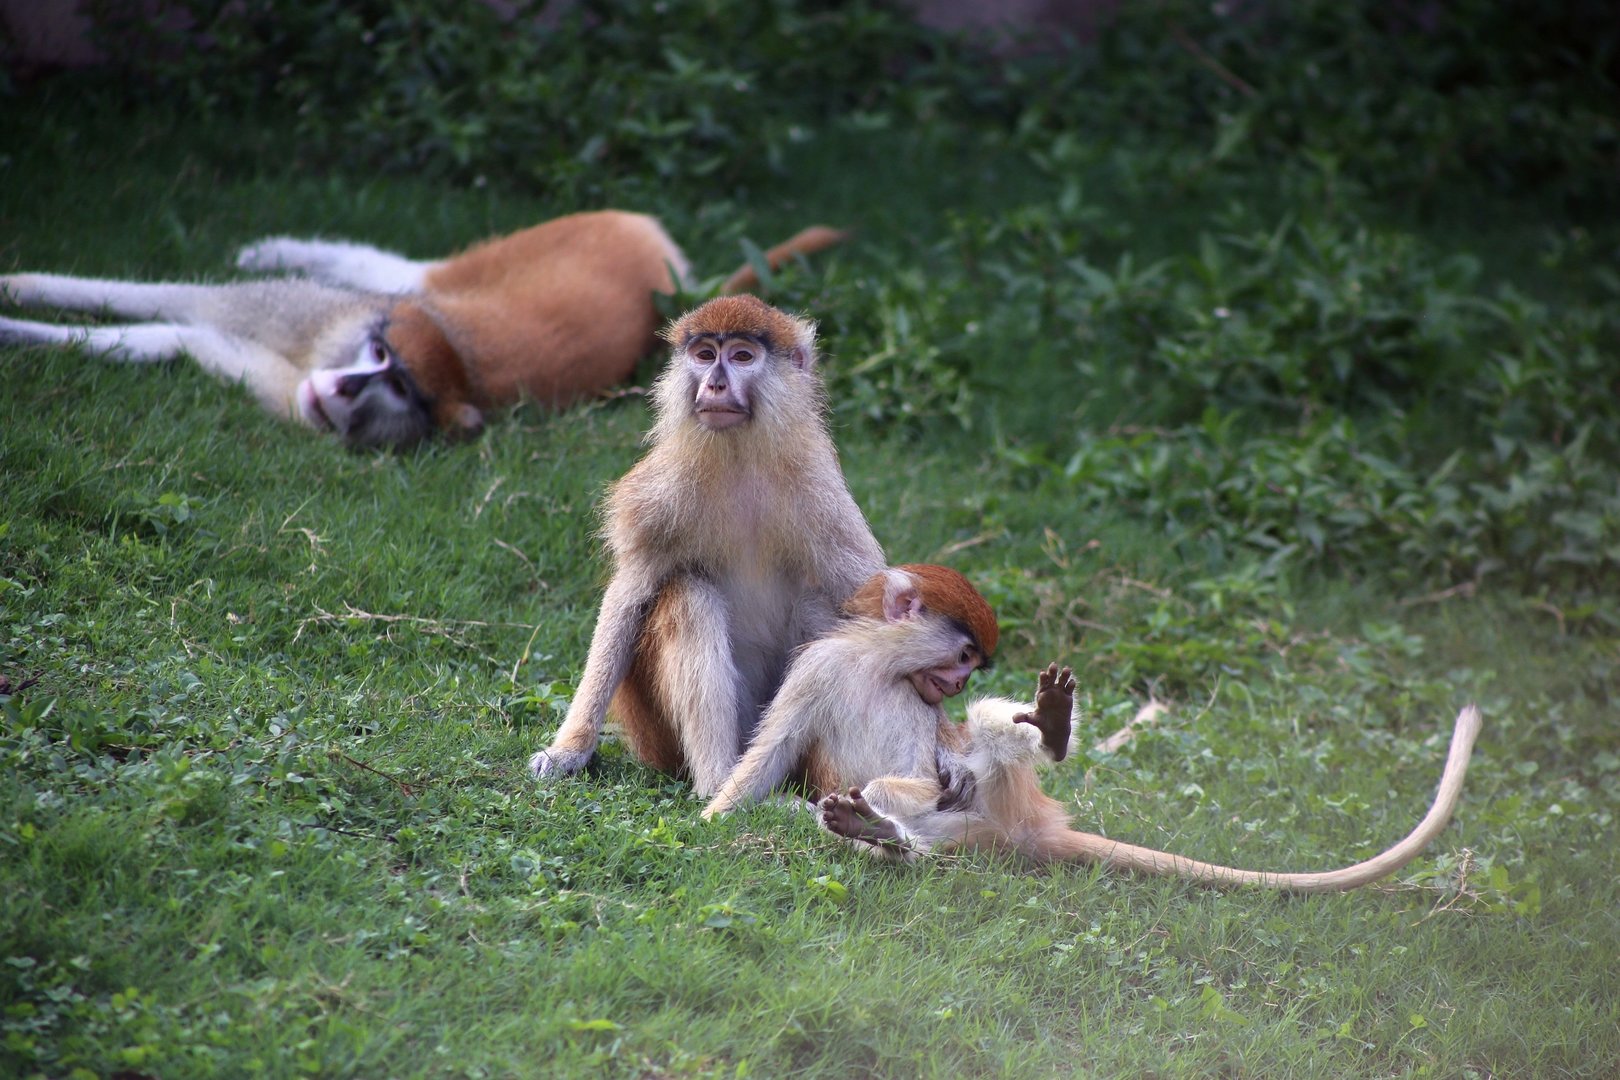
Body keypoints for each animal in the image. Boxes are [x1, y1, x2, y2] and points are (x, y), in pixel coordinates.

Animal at [0, 211, 846, 448]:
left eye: (397, 386)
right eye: (376, 354)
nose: (345, 388)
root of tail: (663, 263)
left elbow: (176, 338)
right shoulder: (327, 323)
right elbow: (177, 302)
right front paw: (19, 291)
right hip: (544, 240)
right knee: (400, 271)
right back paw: (281, 248)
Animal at [527, 294, 887, 794]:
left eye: (742, 356)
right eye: (704, 355)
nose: (714, 384)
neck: (738, 456)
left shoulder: (820, 492)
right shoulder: (661, 495)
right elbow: (629, 597)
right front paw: (569, 750)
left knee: (818, 607)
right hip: (659, 734)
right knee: (687, 595)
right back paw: (719, 782)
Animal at [704, 564, 1484, 893]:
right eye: (963, 655)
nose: (959, 683)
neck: (878, 665)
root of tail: (1025, 830)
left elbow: (946, 746)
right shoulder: (819, 666)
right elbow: (774, 746)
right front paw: (715, 817)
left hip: (998, 804)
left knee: (973, 754)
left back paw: (1044, 732)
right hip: (974, 833)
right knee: (874, 813)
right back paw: (872, 831)